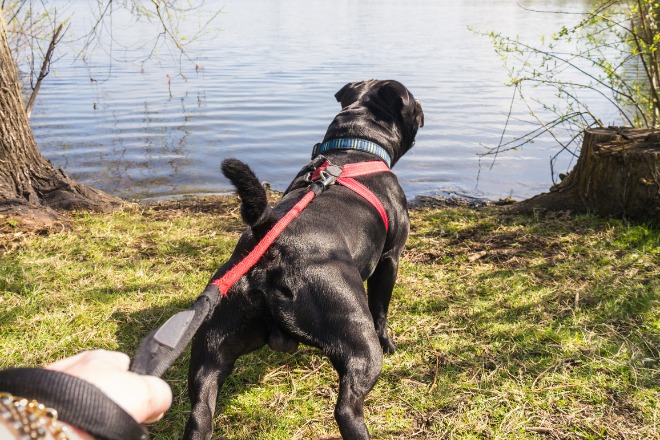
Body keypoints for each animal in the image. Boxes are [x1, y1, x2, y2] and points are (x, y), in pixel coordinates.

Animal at [186, 81, 422, 438]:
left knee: (200, 411)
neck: (355, 146)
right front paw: (391, 343)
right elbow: (381, 308)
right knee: (347, 407)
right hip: (357, 336)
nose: (422, 109)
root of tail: (270, 240)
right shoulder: (390, 259)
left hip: (210, 349)